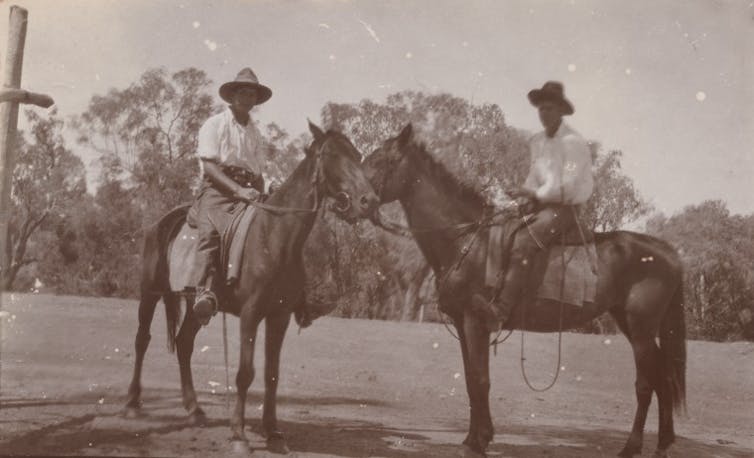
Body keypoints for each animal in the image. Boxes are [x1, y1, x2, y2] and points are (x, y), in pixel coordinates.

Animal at [125, 122, 378, 454]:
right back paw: (132, 403)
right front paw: (238, 435)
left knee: (183, 343)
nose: (369, 201)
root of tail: (162, 222)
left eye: (357, 155)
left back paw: (194, 410)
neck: (275, 235)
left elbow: (272, 374)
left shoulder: (279, 317)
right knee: (142, 339)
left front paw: (273, 433)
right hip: (149, 293)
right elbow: (245, 373)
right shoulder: (251, 313)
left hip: (195, 306)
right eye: (333, 156)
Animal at [362, 122, 684, 458]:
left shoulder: (476, 323)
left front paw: (479, 441)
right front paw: (475, 436)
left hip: (641, 328)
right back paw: (663, 443)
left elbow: (480, 380)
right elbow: (470, 380)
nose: (354, 199)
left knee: (646, 384)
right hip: (630, 323)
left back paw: (631, 446)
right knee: (663, 379)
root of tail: (668, 252)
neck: (469, 240)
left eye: (380, 160)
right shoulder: (463, 325)